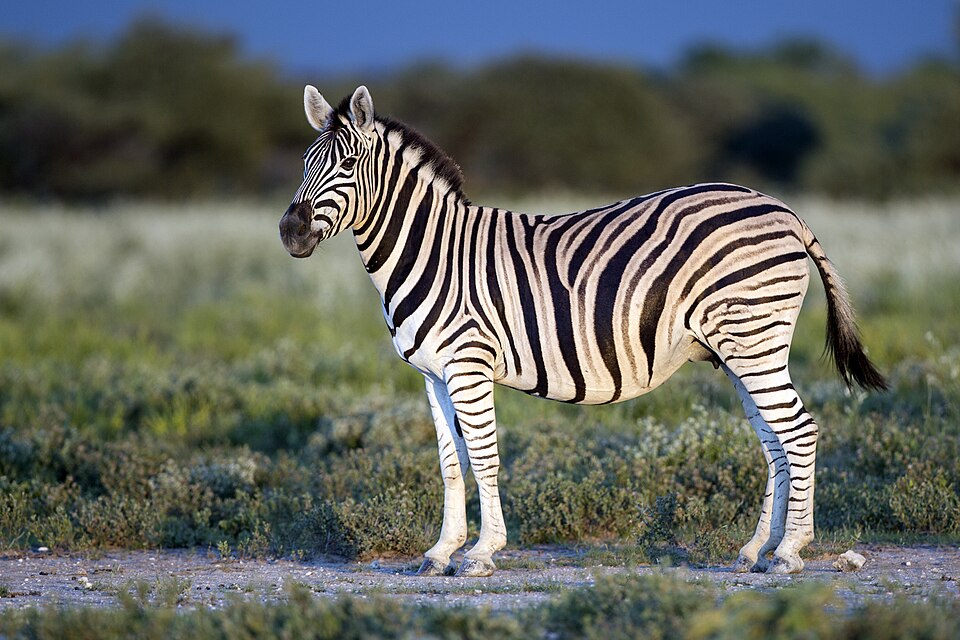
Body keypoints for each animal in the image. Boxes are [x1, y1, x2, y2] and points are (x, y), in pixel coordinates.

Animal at [279, 85, 886, 577]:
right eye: (305, 163)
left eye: (347, 164)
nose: (289, 232)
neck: (431, 250)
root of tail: (783, 209)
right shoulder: (432, 373)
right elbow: (451, 463)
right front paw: (440, 552)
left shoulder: (469, 364)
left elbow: (484, 456)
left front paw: (481, 554)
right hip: (740, 348)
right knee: (776, 443)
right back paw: (756, 550)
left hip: (753, 338)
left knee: (799, 431)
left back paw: (789, 553)